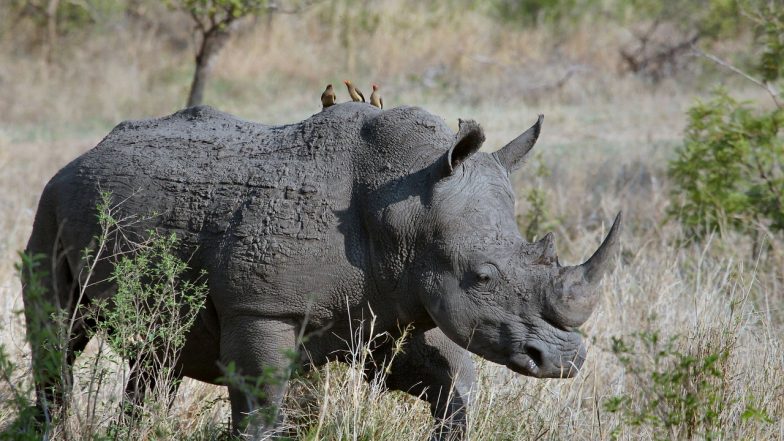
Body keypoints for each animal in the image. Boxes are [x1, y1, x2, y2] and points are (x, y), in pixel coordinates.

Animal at [23, 103, 620, 439]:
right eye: (483, 276)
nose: (564, 361)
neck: (405, 206)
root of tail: (83, 154)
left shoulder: (390, 304)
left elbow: (450, 384)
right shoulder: (261, 309)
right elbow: (261, 407)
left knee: (157, 356)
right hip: (50, 202)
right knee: (58, 332)